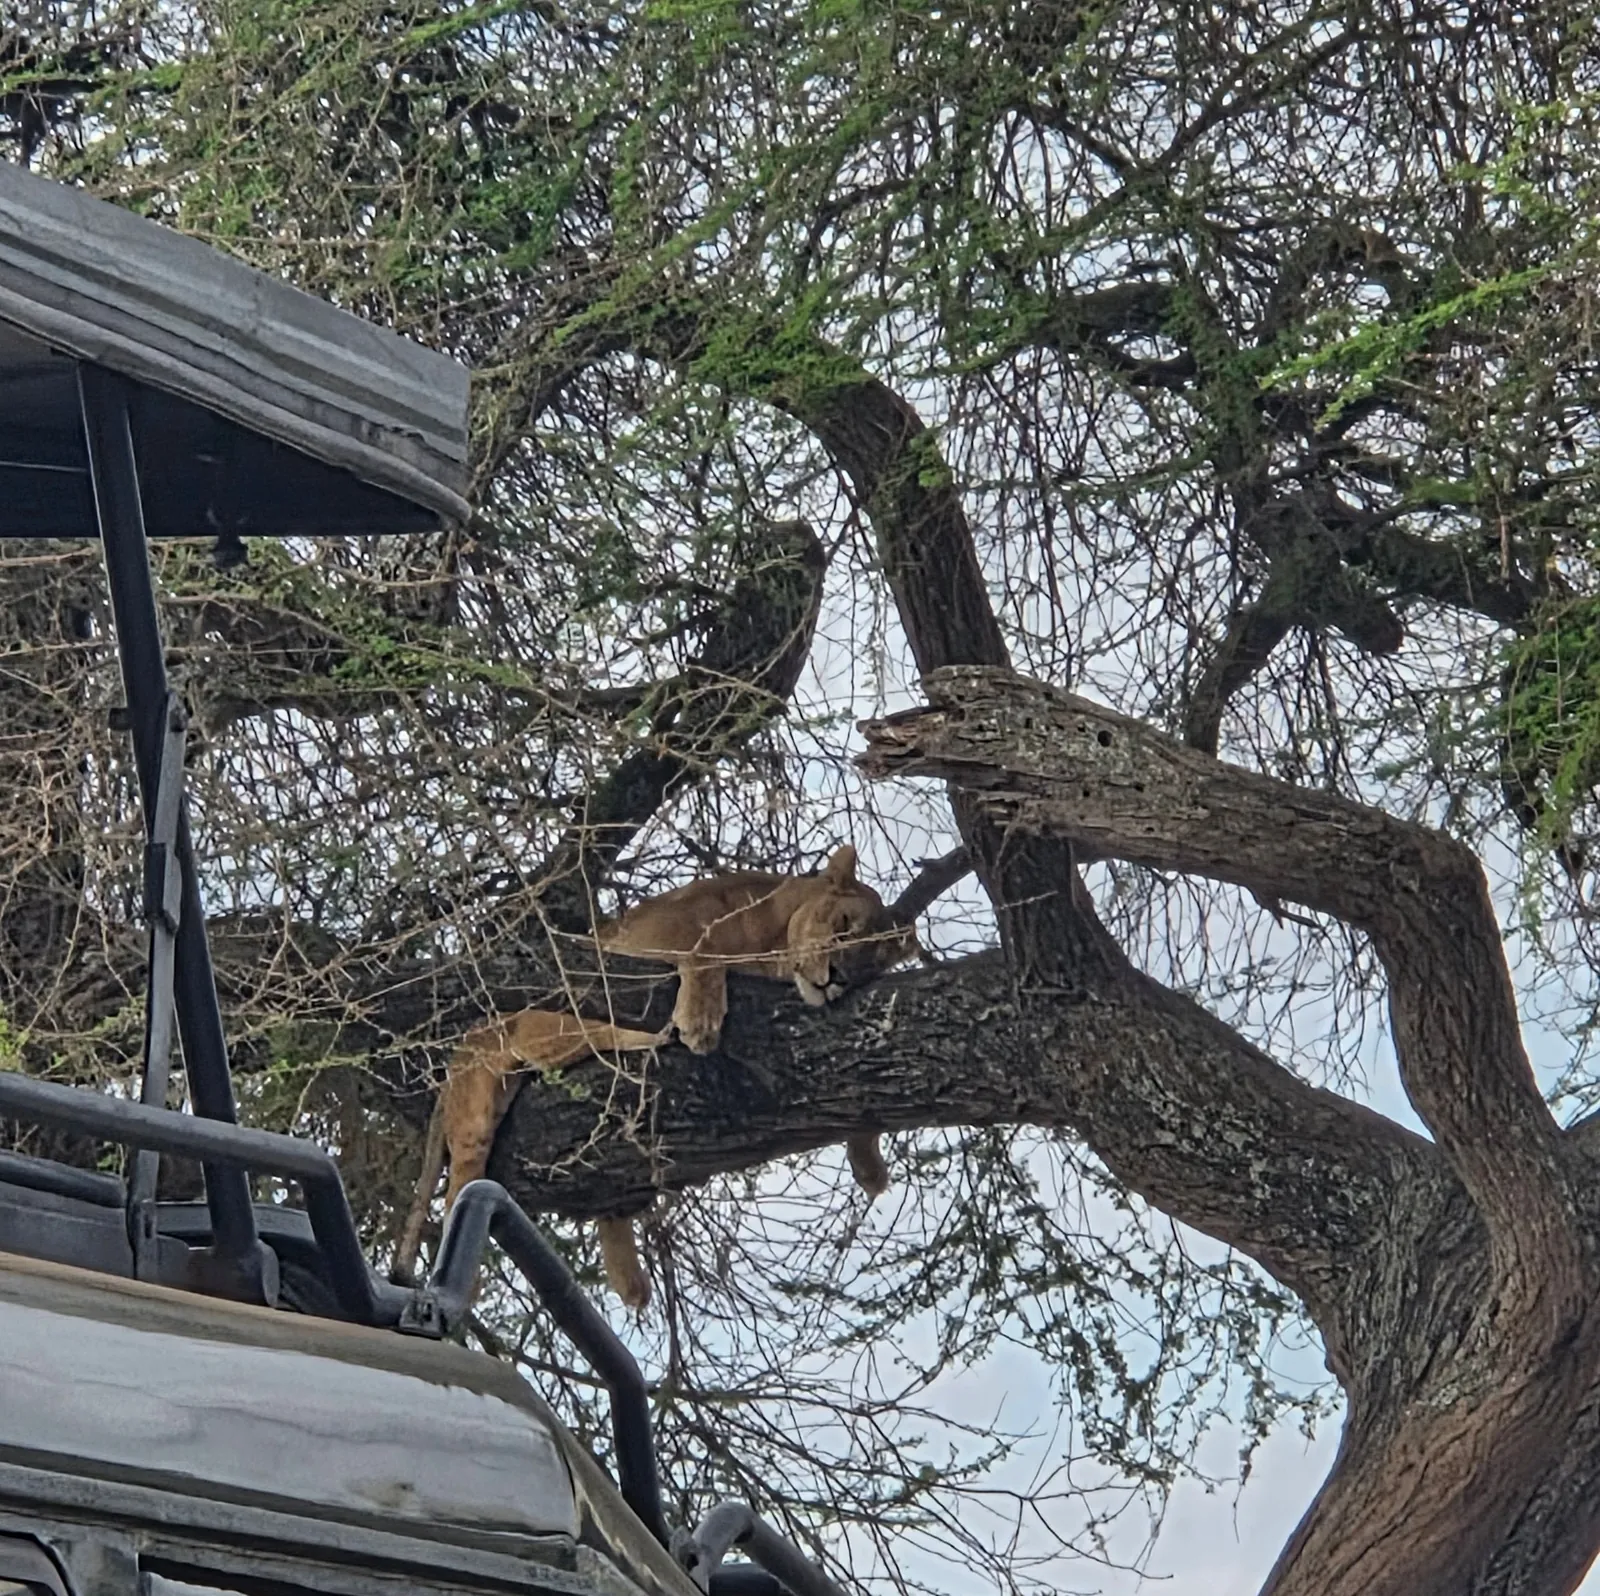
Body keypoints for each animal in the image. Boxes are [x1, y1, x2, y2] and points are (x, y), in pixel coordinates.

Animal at [395, 846, 918, 1308]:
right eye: (843, 925)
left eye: (871, 962)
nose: (837, 977)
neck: (773, 950)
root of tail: (462, 1045)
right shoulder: (645, 953)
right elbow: (703, 951)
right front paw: (698, 1022)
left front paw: (869, 1166)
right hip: (478, 1105)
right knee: (460, 1184)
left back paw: (631, 1283)